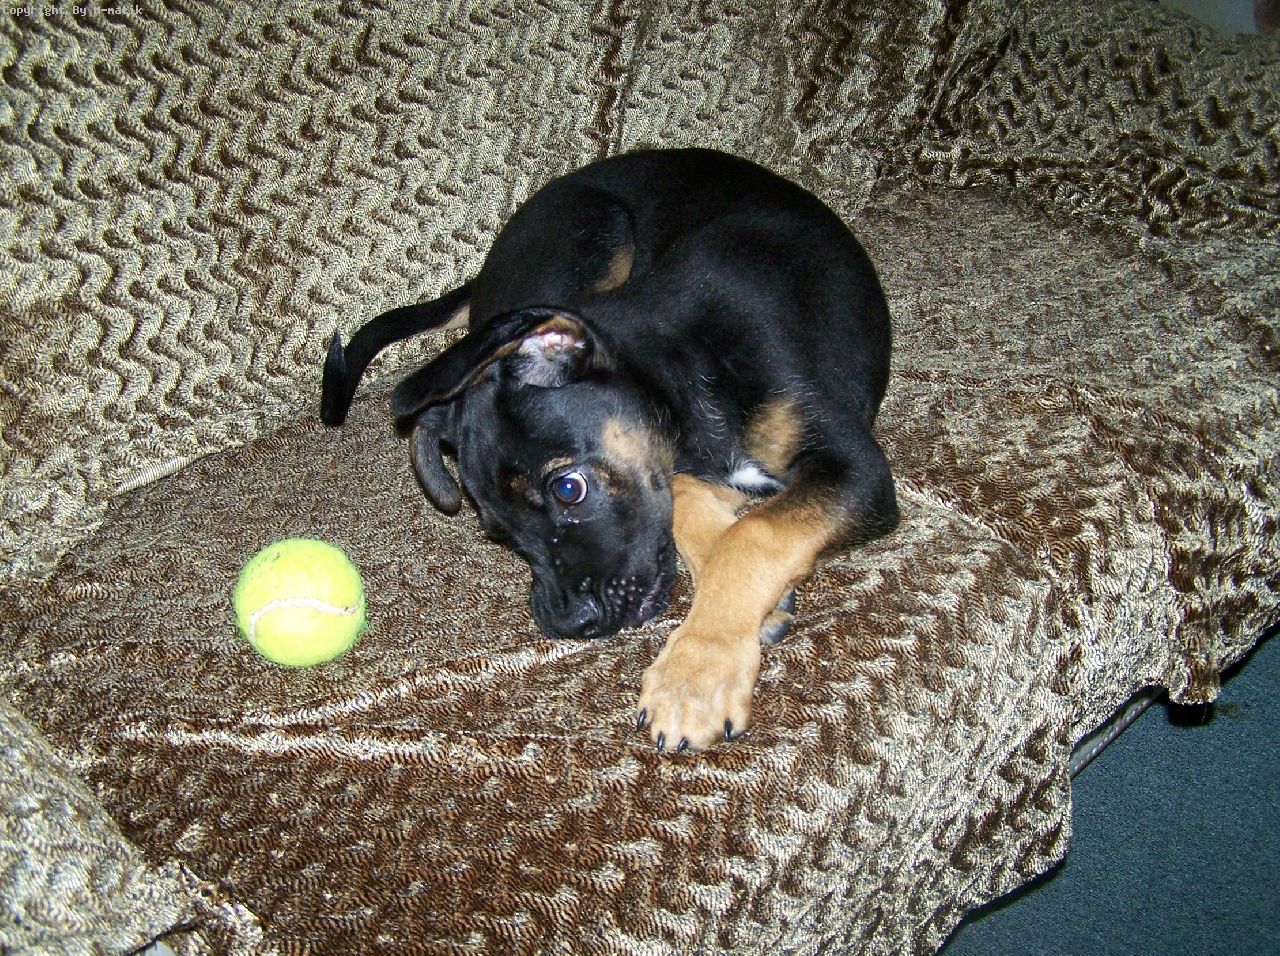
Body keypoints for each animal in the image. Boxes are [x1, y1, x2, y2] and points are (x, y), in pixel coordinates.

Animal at [321, 148, 899, 753]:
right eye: (499, 534)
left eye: (568, 489)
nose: (571, 625)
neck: (680, 361)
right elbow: (692, 508)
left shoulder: (856, 467)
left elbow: (755, 534)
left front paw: (696, 674)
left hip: (601, 226)